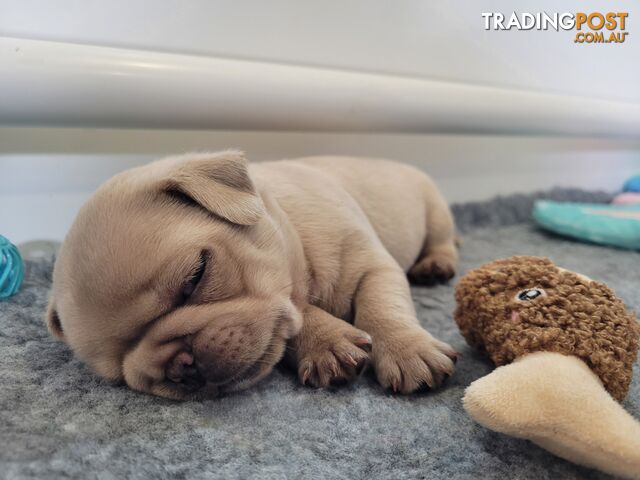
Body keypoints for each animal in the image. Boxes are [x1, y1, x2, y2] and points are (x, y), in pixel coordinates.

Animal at [47, 152, 458, 400]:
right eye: (119, 375)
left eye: (195, 277)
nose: (181, 363)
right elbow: (295, 315)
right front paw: (325, 342)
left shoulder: (373, 265)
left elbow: (382, 306)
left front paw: (408, 351)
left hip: (434, 207)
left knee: (444, 238)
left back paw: (435, 264)